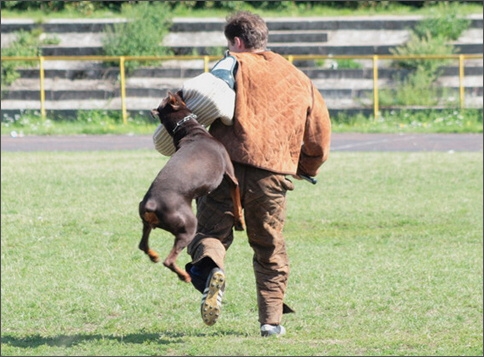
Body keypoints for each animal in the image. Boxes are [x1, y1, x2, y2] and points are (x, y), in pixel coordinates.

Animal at [139, 91, 246, 280]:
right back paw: (185, 276)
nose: (179, 90)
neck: (191, 131)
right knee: (169, 260)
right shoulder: (231, 176)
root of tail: (151, 203)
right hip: (188, 226)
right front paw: (240, 221)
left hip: (147, 223)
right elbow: (236, 200)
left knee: (143, 245)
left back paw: (153, 255)